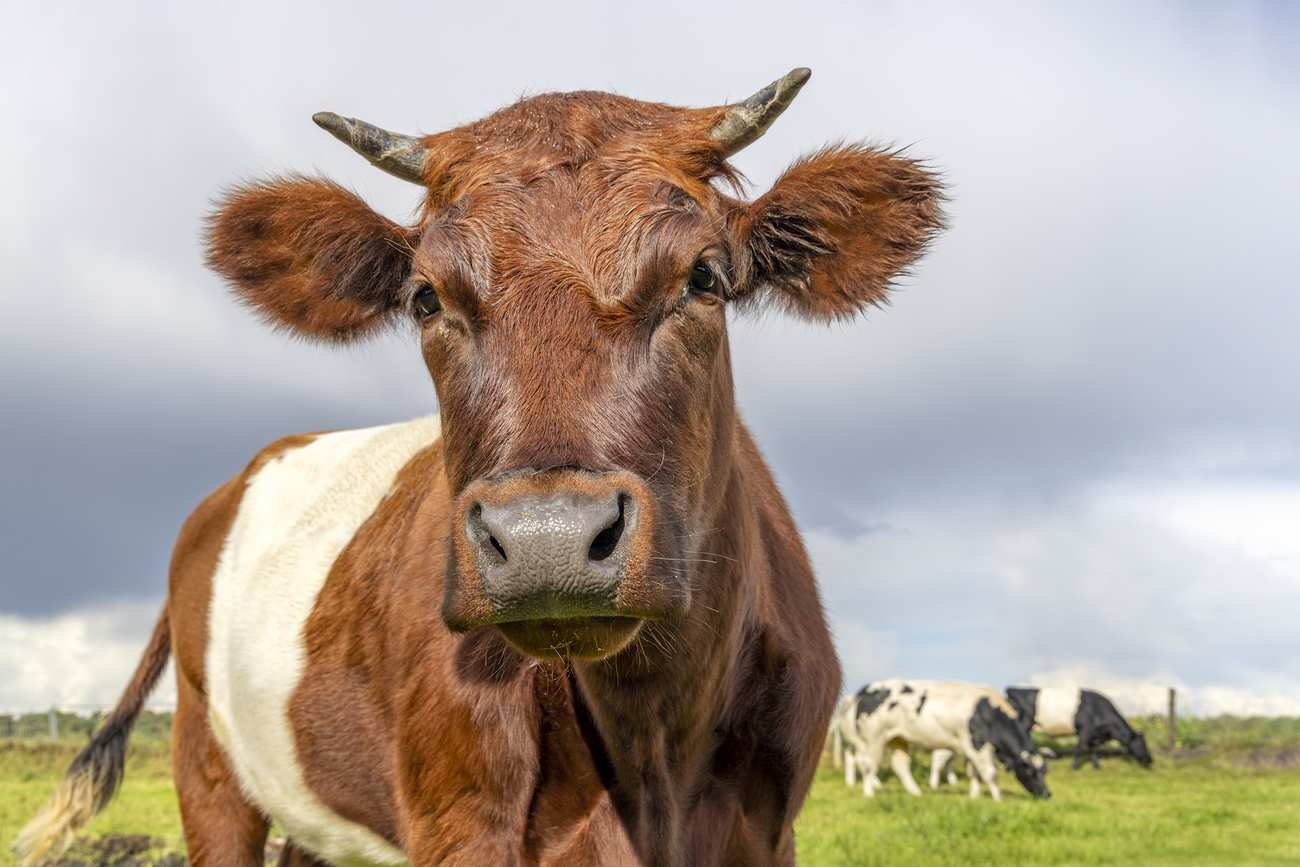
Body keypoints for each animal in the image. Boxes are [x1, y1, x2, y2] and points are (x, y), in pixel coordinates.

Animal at [12, 69, 946, 867]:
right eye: (426, 297)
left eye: (705, 277)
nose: (546, 541)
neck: (655, 746)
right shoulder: (461, 821)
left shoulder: (768, 826)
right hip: (208, 766)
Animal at [832, 681, 1045, 805]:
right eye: (1031, 771)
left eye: (1045, 771)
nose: (1047, 794)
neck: (988, 713)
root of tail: (864, 691)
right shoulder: (977, 746)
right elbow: (989, 773)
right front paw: (998, 799)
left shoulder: (971, 748)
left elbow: (974, 773)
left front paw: (974, 796)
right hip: (873, 739)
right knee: (867, 764)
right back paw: (869, 792)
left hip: (898, 739)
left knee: (900, 765)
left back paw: (916, 792)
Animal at [1003, 686, 1159, 769]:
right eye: (1142, 743)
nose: (1150, 759)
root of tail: (1014, 689)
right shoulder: (1085, 729)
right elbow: (1080, 747)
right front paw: (1074, 766)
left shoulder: (1094, 734)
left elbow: (1094, 749)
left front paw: (1097, 766)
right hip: (1025, 720)